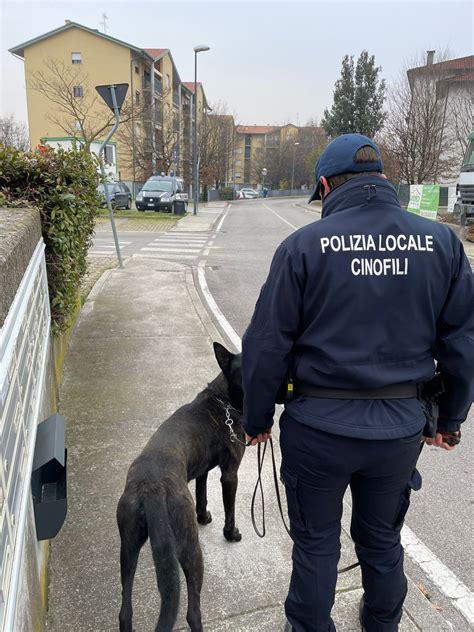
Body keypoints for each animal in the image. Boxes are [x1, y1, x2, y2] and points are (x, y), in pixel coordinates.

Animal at [117, 344, 246, 632]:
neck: (223, 399)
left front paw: (204, 516)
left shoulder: (201, 470)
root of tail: (152, 489)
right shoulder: (230, 474)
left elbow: (202, 493)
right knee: (192, 613)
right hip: (189, 549)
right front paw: (231, 534)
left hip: (128, 545)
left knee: (124, 612)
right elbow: (230, 509)